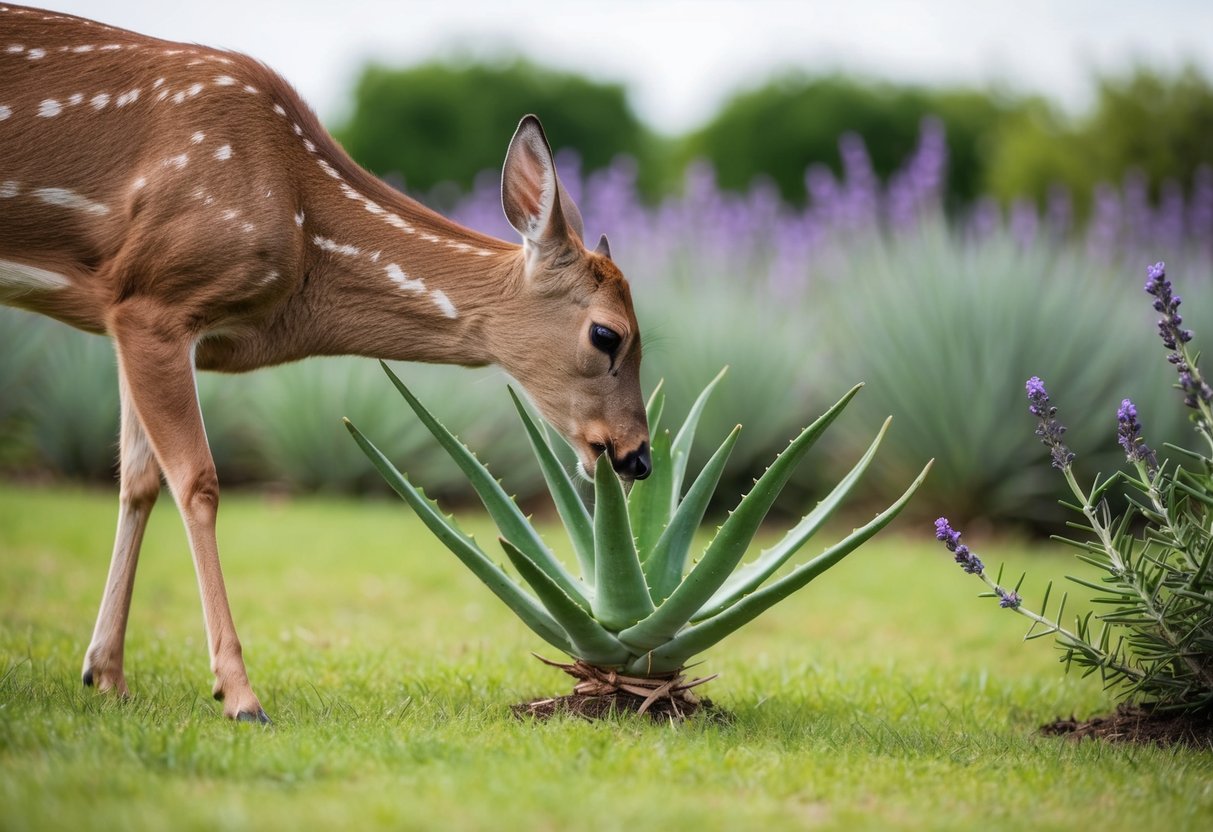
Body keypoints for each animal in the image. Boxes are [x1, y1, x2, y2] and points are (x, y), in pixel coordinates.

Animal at [0, 4, 650, 722]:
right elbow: (197, 481)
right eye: (607, 335)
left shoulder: (123, 311)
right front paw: (239, 694)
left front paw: (105, 674)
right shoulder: (155, 300)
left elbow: (136, 479)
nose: (637, 455)